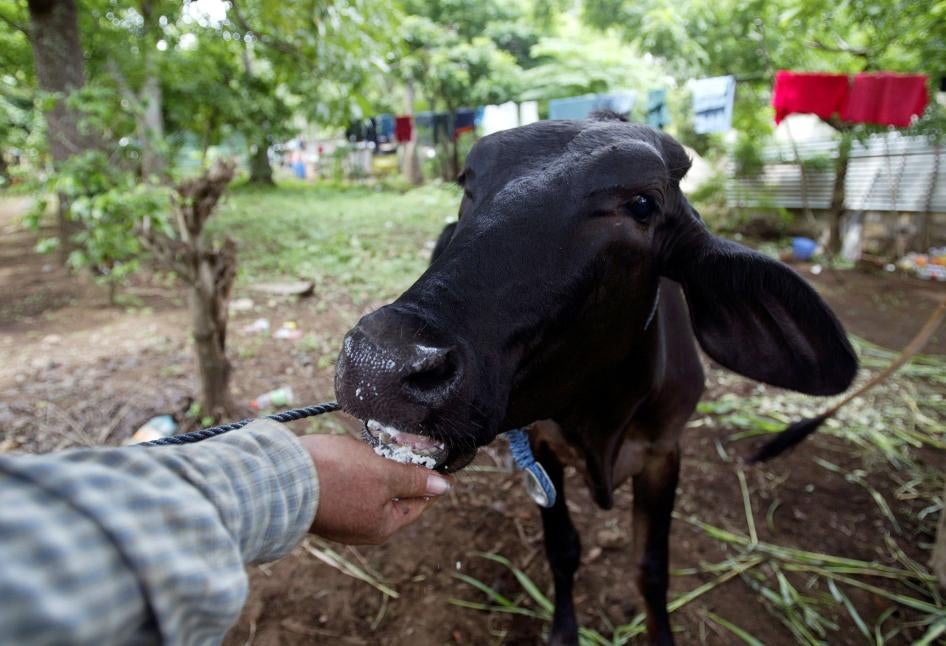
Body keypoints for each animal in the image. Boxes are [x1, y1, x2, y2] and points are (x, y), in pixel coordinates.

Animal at [334, 113, 858, 645]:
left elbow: (651, 569)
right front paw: (565, 630)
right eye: (469, 181)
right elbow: (563, 548)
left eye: (643, 204)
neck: (603, 416)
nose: (381, 361)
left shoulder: (663, 453)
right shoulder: (543, 445)